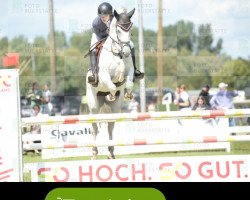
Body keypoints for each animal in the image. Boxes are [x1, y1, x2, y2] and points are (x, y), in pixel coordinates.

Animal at [86, 7, 137, 159]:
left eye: (130, 29)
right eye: (118, 30)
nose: (126, 52)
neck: (117, 53)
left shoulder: (129, 72)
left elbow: (128, 83)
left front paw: (128, 95)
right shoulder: (104, 76)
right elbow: (112, 86)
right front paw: (111, 94)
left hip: (114, 108)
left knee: (110, 126)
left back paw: (110, 152)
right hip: (94, 105)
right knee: (94, 126)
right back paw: (94, 153)